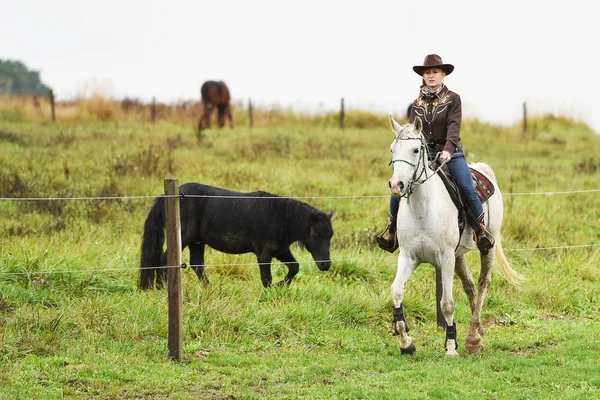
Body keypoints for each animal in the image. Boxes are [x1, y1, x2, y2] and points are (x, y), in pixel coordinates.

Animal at [139, 183, 336, 290]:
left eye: (330, 236)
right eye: (315, 234)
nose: (325, 265)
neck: (278, 217)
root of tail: (170, 195)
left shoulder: (281, 250)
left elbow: (294, 267)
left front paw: (280, 285)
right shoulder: (264, 254)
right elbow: (266, 279)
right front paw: (271, 291)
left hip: (197, 242)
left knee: (197, 265)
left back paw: (210, 289)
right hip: (184, 237)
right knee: (164, 260)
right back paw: (160, 287)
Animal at [390, 115, 520, 356]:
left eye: (415, 150)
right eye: (392, 150)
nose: (396, 185)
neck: (423, 209)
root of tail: (481, 170)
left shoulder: (446, 257)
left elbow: (447, 304)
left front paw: (451, 346)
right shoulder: (408, 257)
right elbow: (396, 291)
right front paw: (406, 342)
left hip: (486, 246)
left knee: (483, 282)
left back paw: (472, 338)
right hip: (459, 256)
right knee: (469, 284)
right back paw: (477, 335)